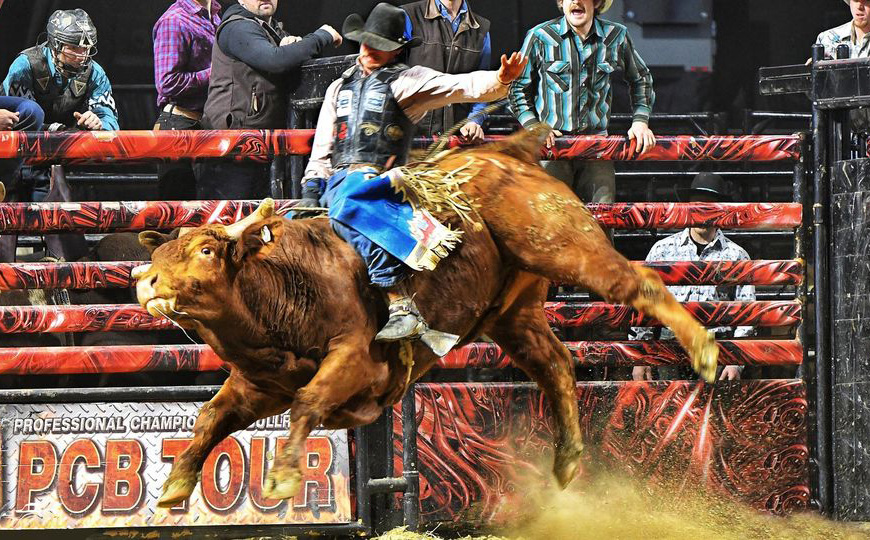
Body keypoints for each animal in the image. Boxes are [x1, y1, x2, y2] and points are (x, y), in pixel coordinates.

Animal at [133, 130, 719, 507]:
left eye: (207, 251)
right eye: (161, 255)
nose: (147, 282)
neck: (283, 284)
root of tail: (507, 152)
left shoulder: (356, 359)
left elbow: (309, 400)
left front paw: (280, 479)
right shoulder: (256, 385)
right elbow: (211, 418)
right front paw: (175, 486)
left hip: (563, 244)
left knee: (639, 283)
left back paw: (707, 352)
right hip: (514, 312)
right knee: (555, 363)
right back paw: (567, 459)